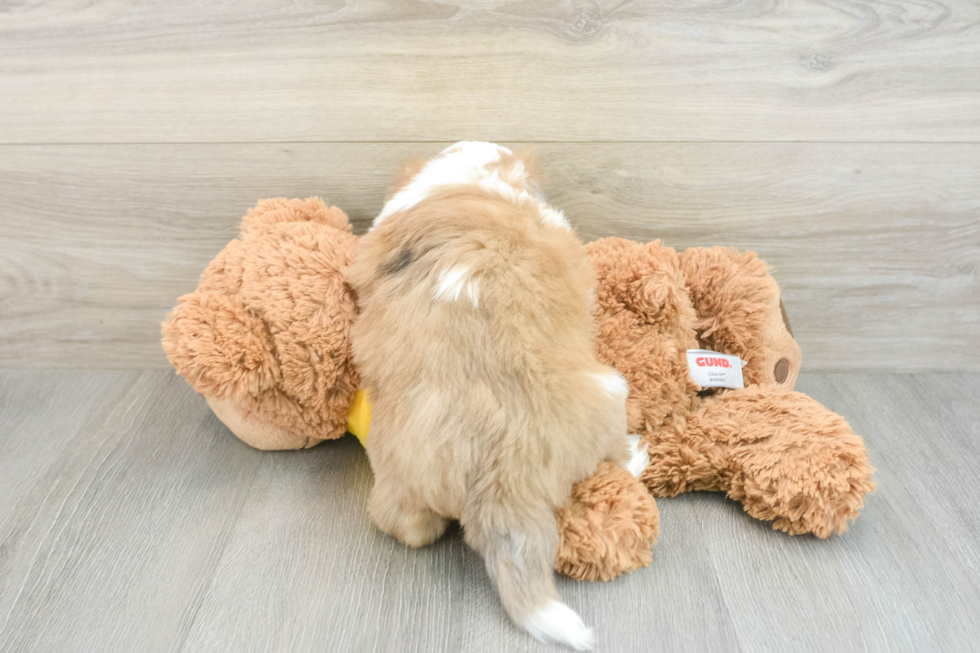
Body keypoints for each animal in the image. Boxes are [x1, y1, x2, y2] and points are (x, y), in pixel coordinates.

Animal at [348, 141, 640, 648]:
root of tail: (502, 472)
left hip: (401, 479)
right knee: (616, 453)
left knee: (406, 525)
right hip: (610, 393)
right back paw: (639, 456)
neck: (467, 177)